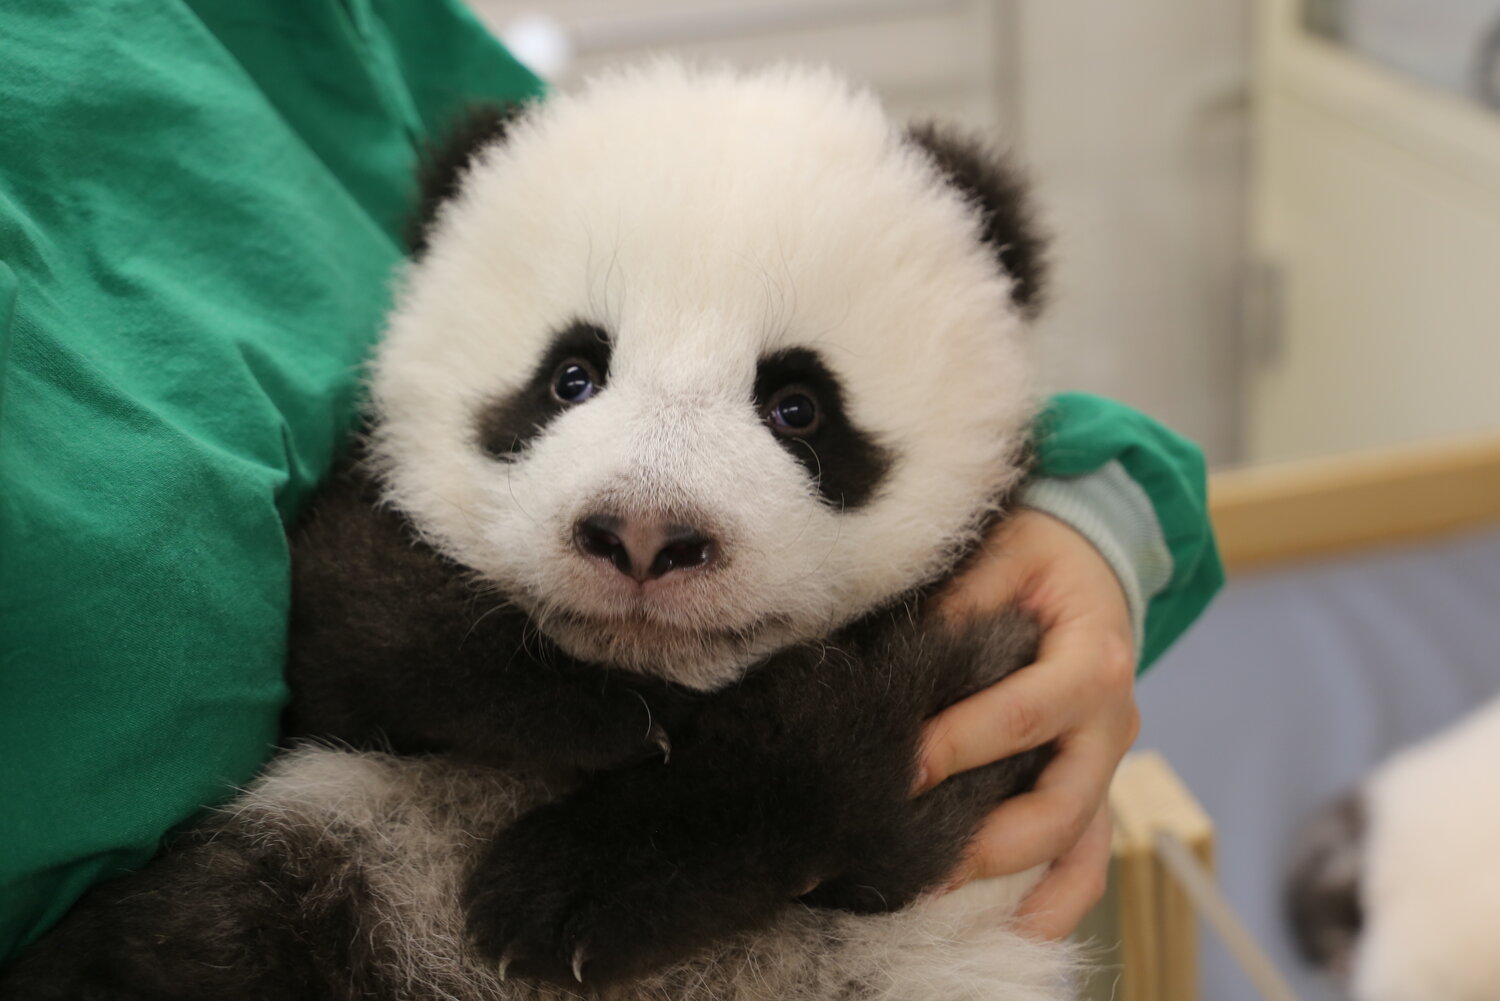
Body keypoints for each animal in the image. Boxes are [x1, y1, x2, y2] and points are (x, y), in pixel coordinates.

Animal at [0, 62, 1076, 1001]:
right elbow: (359, 613)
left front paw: (567, 896)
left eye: (798, 406)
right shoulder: (350, 609)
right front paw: (595, 715)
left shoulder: (987, 693)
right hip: (326, 853)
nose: (644, 535)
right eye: (572, 376)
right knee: (190, 939)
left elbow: (864, 755)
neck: (660, 665)